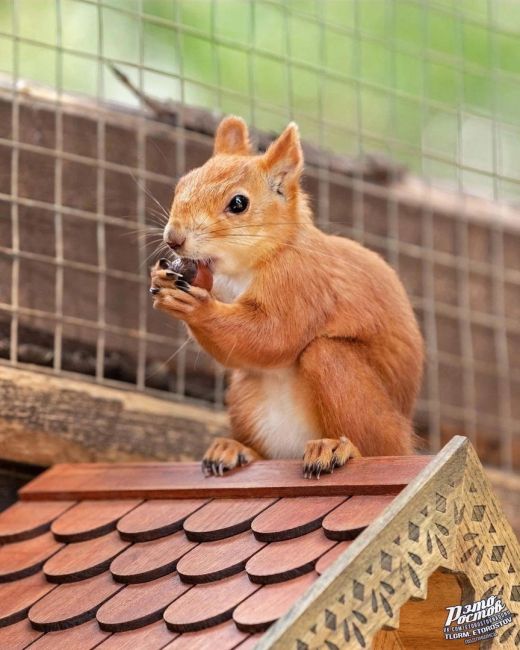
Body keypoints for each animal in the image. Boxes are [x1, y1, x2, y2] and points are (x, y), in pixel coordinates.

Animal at [149, 115, 422, 476]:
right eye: (181, 185)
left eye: (239, 203)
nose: (174, 238)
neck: (249, 265)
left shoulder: (302, 282)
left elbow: (276, 335)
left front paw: (198, 308)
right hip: (244, 393)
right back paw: (235, 449)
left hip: (352, 389)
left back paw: (338, 448)